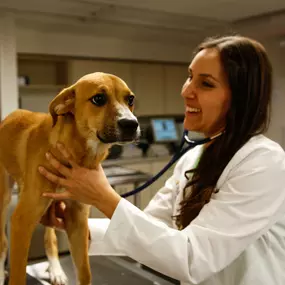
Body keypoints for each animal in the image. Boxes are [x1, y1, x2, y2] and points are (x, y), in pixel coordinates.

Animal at [0, 72, 139, 284]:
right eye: (98, 98)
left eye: (130, 99)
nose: (132, 124)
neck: (72, 151)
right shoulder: (21, 222)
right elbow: (17, 275)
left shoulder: (78, 219)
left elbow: (84, 272)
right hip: (5, 198)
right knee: (3, 243)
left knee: (50, 239)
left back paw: (56, 271)